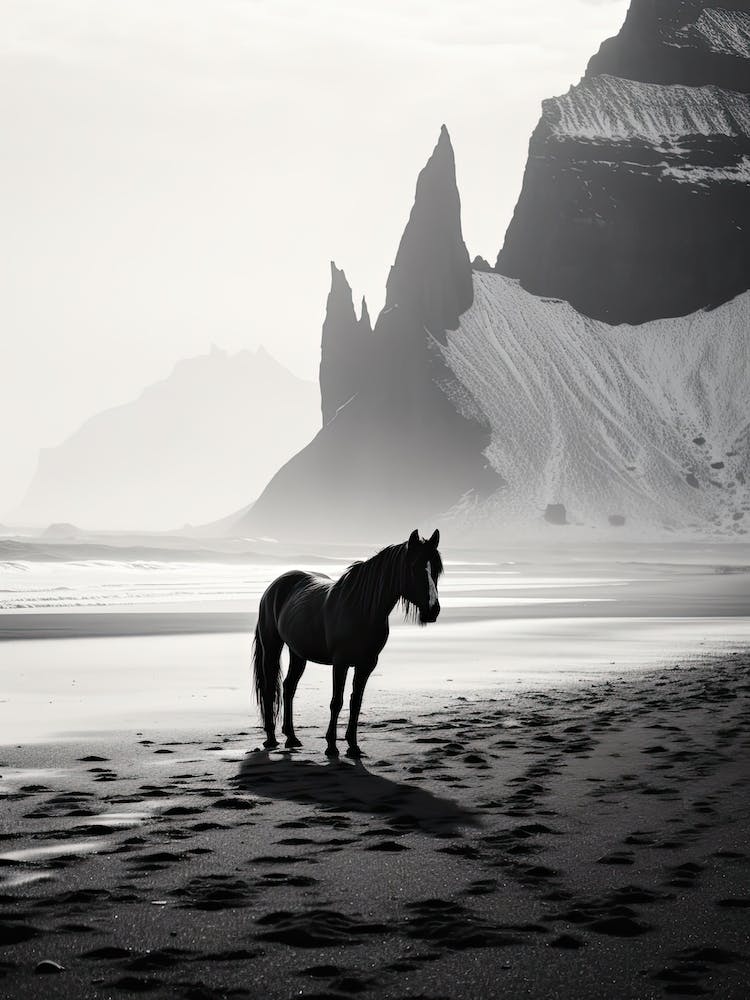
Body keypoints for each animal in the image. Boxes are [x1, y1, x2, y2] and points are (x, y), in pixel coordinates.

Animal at [251, 529, 442, 759]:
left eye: (437, 569)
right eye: (414, 567)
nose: (433, 610)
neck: (361, 609)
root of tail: (276, 585)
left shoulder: (367, 664)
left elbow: (355, 702)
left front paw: (353, 746)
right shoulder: (340, 663)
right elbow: (337, 702)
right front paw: (331, 747)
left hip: (298, 652)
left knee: (289, 687)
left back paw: (291, 737)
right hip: (272, 645)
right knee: (270, 687)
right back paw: (271, 738)